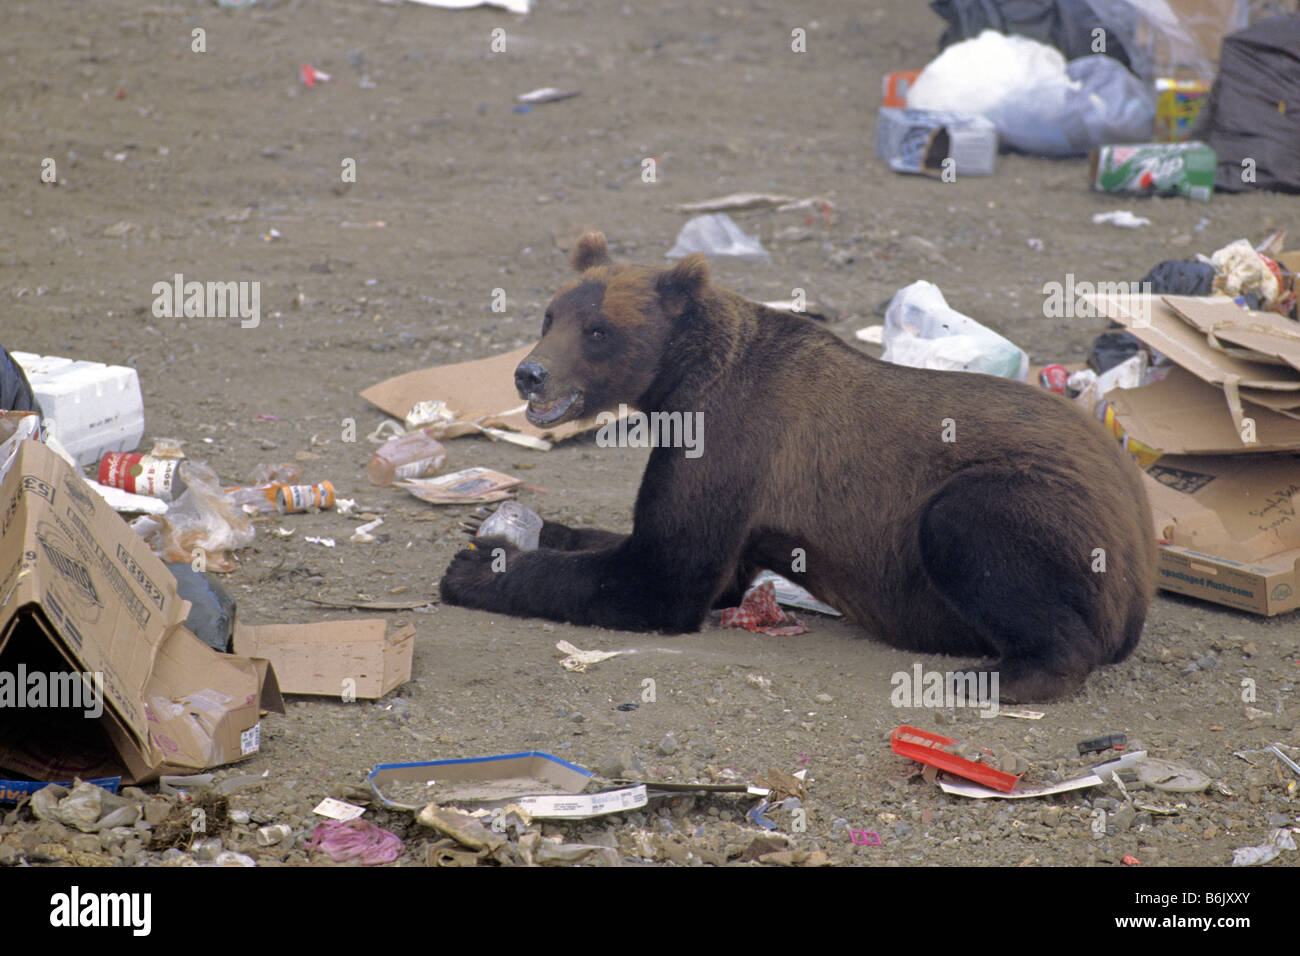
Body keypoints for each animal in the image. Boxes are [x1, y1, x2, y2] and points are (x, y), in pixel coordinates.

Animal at [439, 232, 1156, 702]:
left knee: (969, 522)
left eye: (597, 330)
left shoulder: (732, 443)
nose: (529, 372)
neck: (678, 386)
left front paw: (476, 568)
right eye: (550, 315)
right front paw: (513, 526)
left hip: (1049, 512)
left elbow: (661, 576)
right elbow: (663, 551)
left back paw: (996, 675)